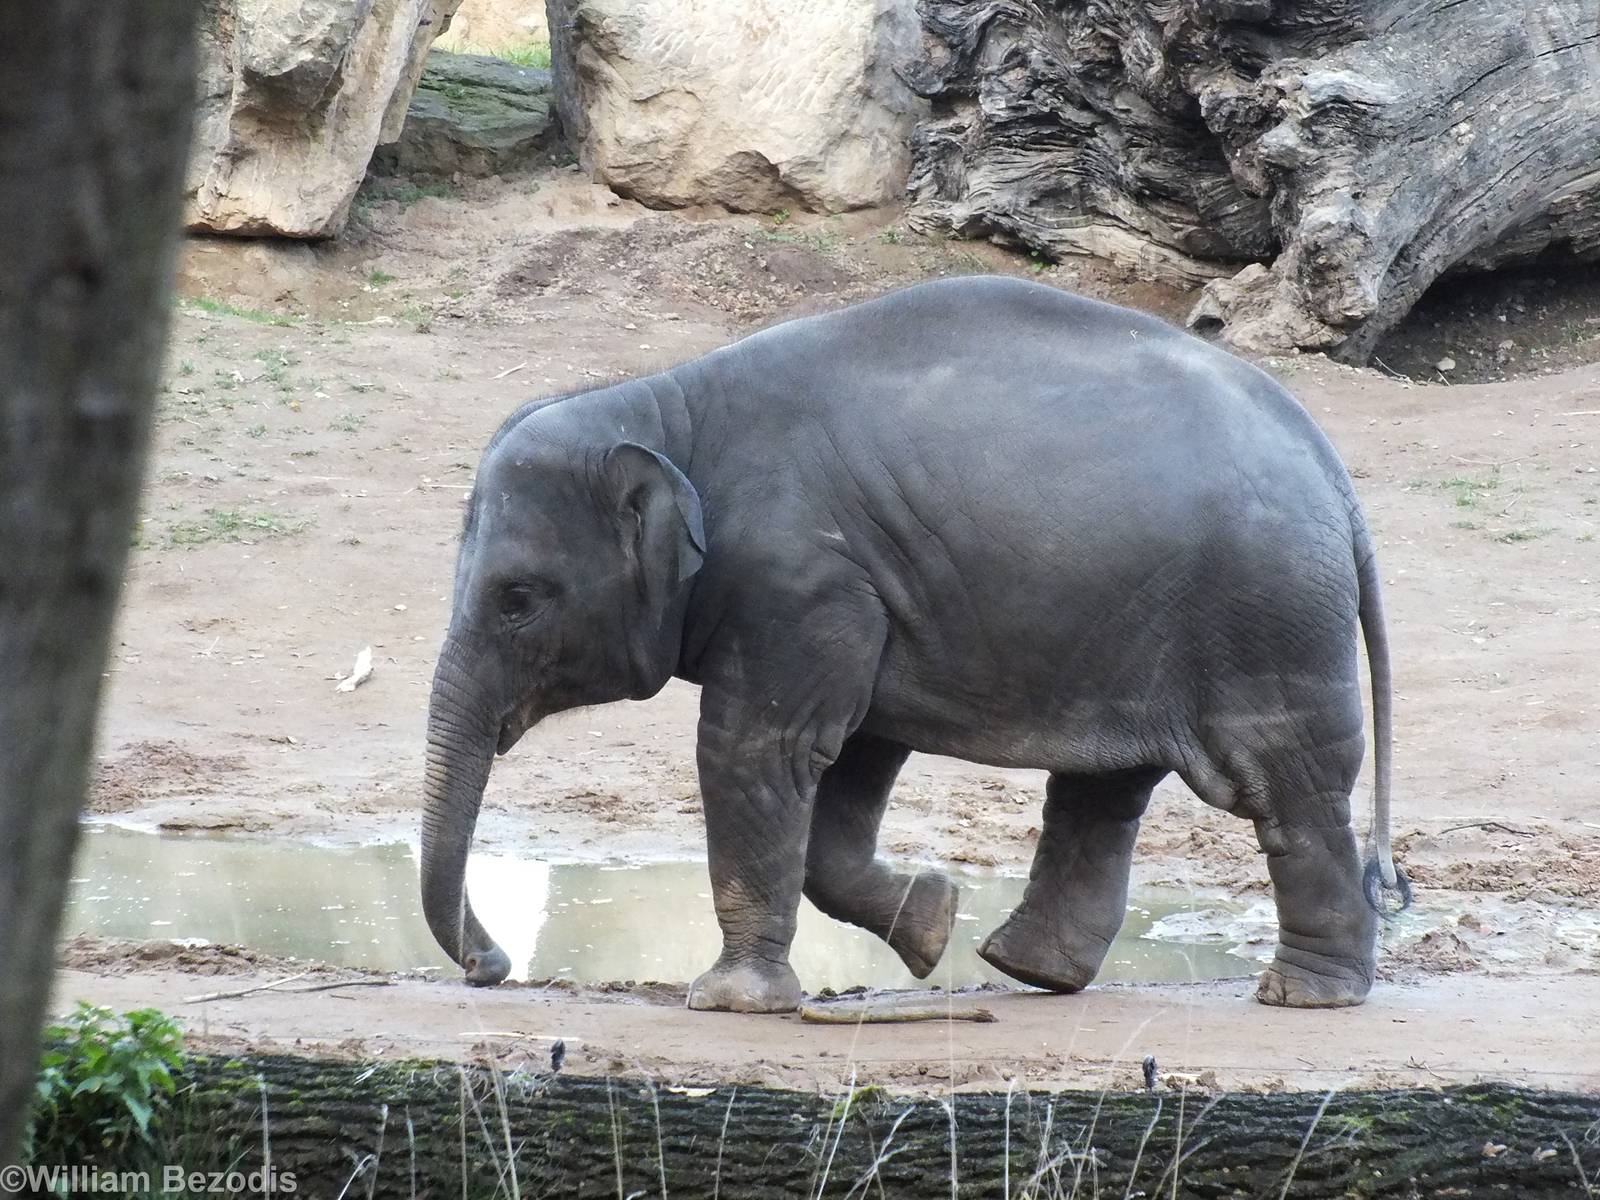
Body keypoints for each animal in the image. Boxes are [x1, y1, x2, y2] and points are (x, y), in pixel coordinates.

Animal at [420, 275, 1410, 1013]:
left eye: (517, 600)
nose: (490, 967)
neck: (665, 406)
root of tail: (1334, 474)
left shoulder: (800, 581)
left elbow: (759, 747)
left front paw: (732, 1002)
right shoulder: (859, 594)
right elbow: (853, 756)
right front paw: (933, 922)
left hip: (1267, 612)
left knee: (1287, 782)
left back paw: (1303, 995)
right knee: (1106, 789)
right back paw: (1029, 970)